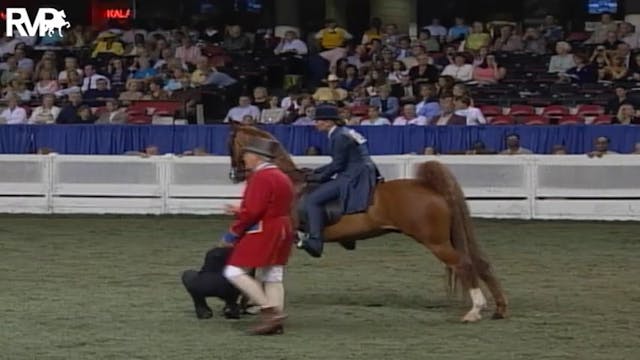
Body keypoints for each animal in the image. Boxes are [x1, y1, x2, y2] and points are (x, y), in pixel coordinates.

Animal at [228, 124, 508, 320]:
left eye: (231, 143)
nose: (234, 174)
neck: (287, 182)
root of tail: (429, 186)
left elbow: (256, 267)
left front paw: (249, 304)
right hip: (448, 238)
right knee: (480, 263)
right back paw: (499, 309)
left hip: (436, 242)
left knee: (464, 263)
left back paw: (475, 311)